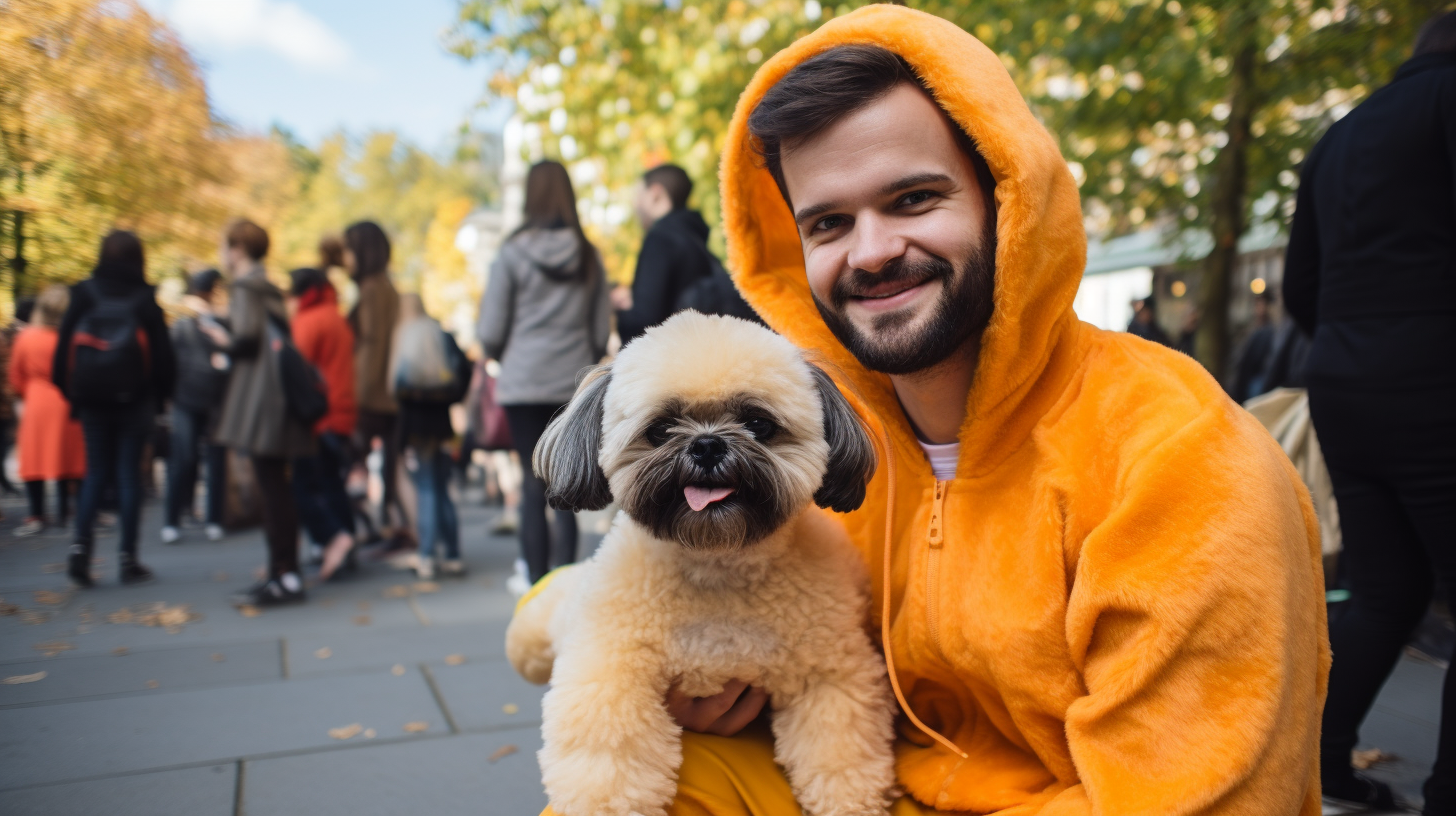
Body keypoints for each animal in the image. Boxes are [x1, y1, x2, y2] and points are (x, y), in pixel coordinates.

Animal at [509, 310, 896, 816]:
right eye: (660, 429)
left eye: (758, 423)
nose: (708, 445)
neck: (717, 565)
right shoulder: (610, 674)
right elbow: (609, 760)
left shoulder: (830, 676)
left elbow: (839, 753)